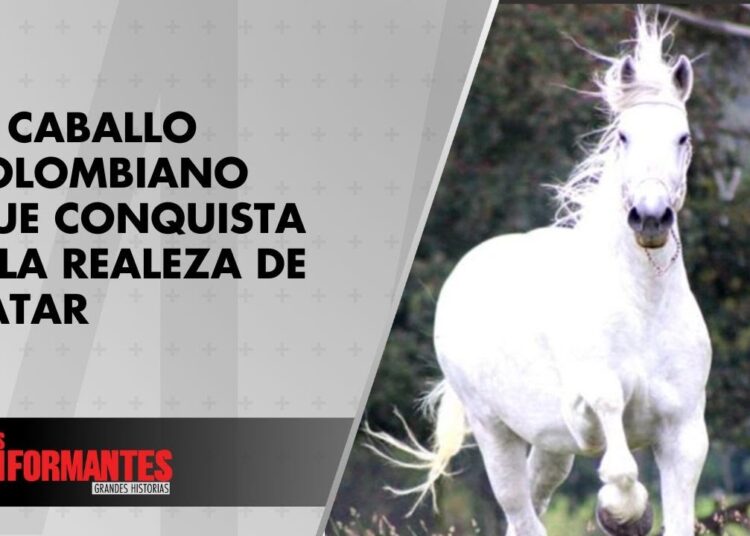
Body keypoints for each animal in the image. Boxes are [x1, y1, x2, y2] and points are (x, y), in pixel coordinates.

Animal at [366, 9, 711, 536]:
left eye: (683, 137)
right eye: (624, 137)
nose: (651, 218)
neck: (643, 306)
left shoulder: (684, 434)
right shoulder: (593, 401)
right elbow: (615, 459)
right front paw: (623, 513)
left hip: (548, 448)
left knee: (531, 500)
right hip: (494, 432)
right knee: (519, 508)